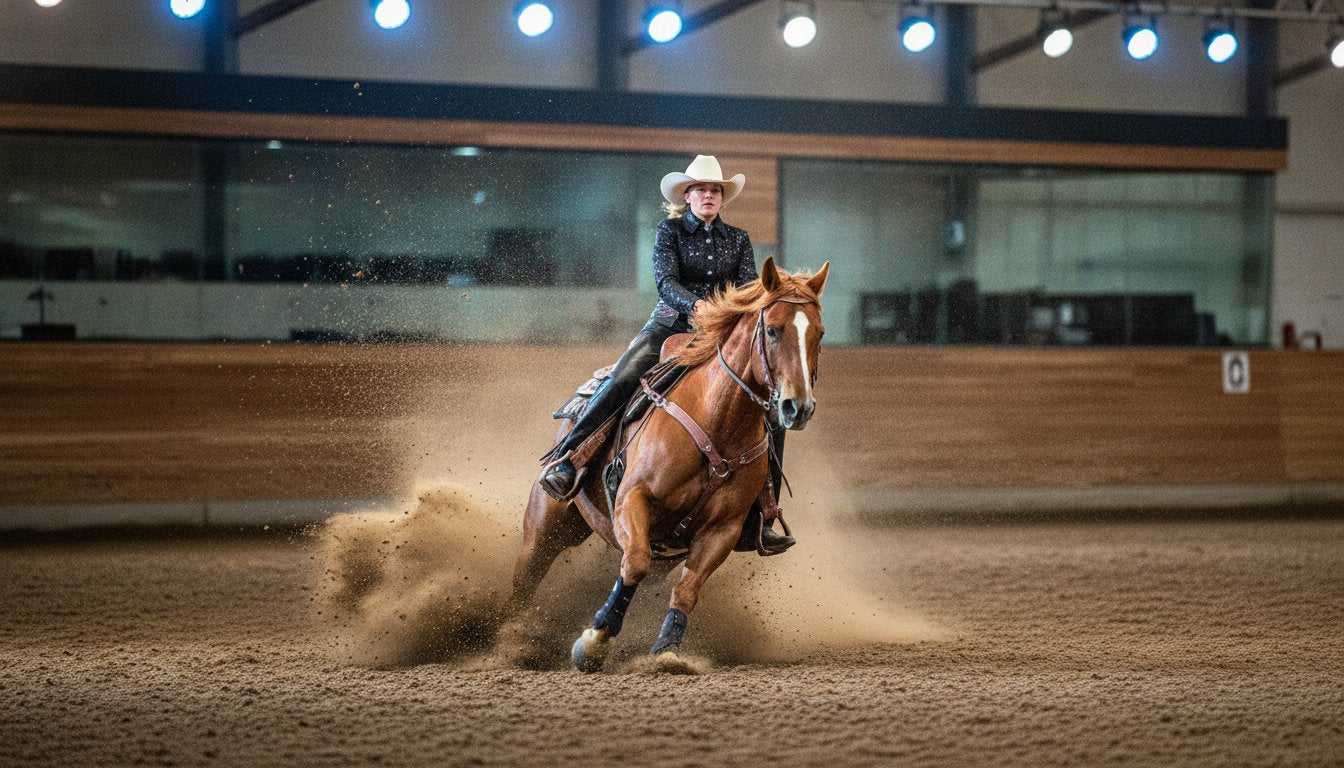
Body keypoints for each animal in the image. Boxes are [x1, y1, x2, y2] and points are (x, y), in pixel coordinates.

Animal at [507, 256, 829, 671]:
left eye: (819, 334)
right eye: (772, 330)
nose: (797, 407)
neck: (718, 422)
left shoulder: (722, 530)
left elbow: (687, 589)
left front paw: (666, 651)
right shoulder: (633, 499)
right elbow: (635, 563)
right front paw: (594, 641)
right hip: (546, 524)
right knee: (526, 575)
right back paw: (511, 638)